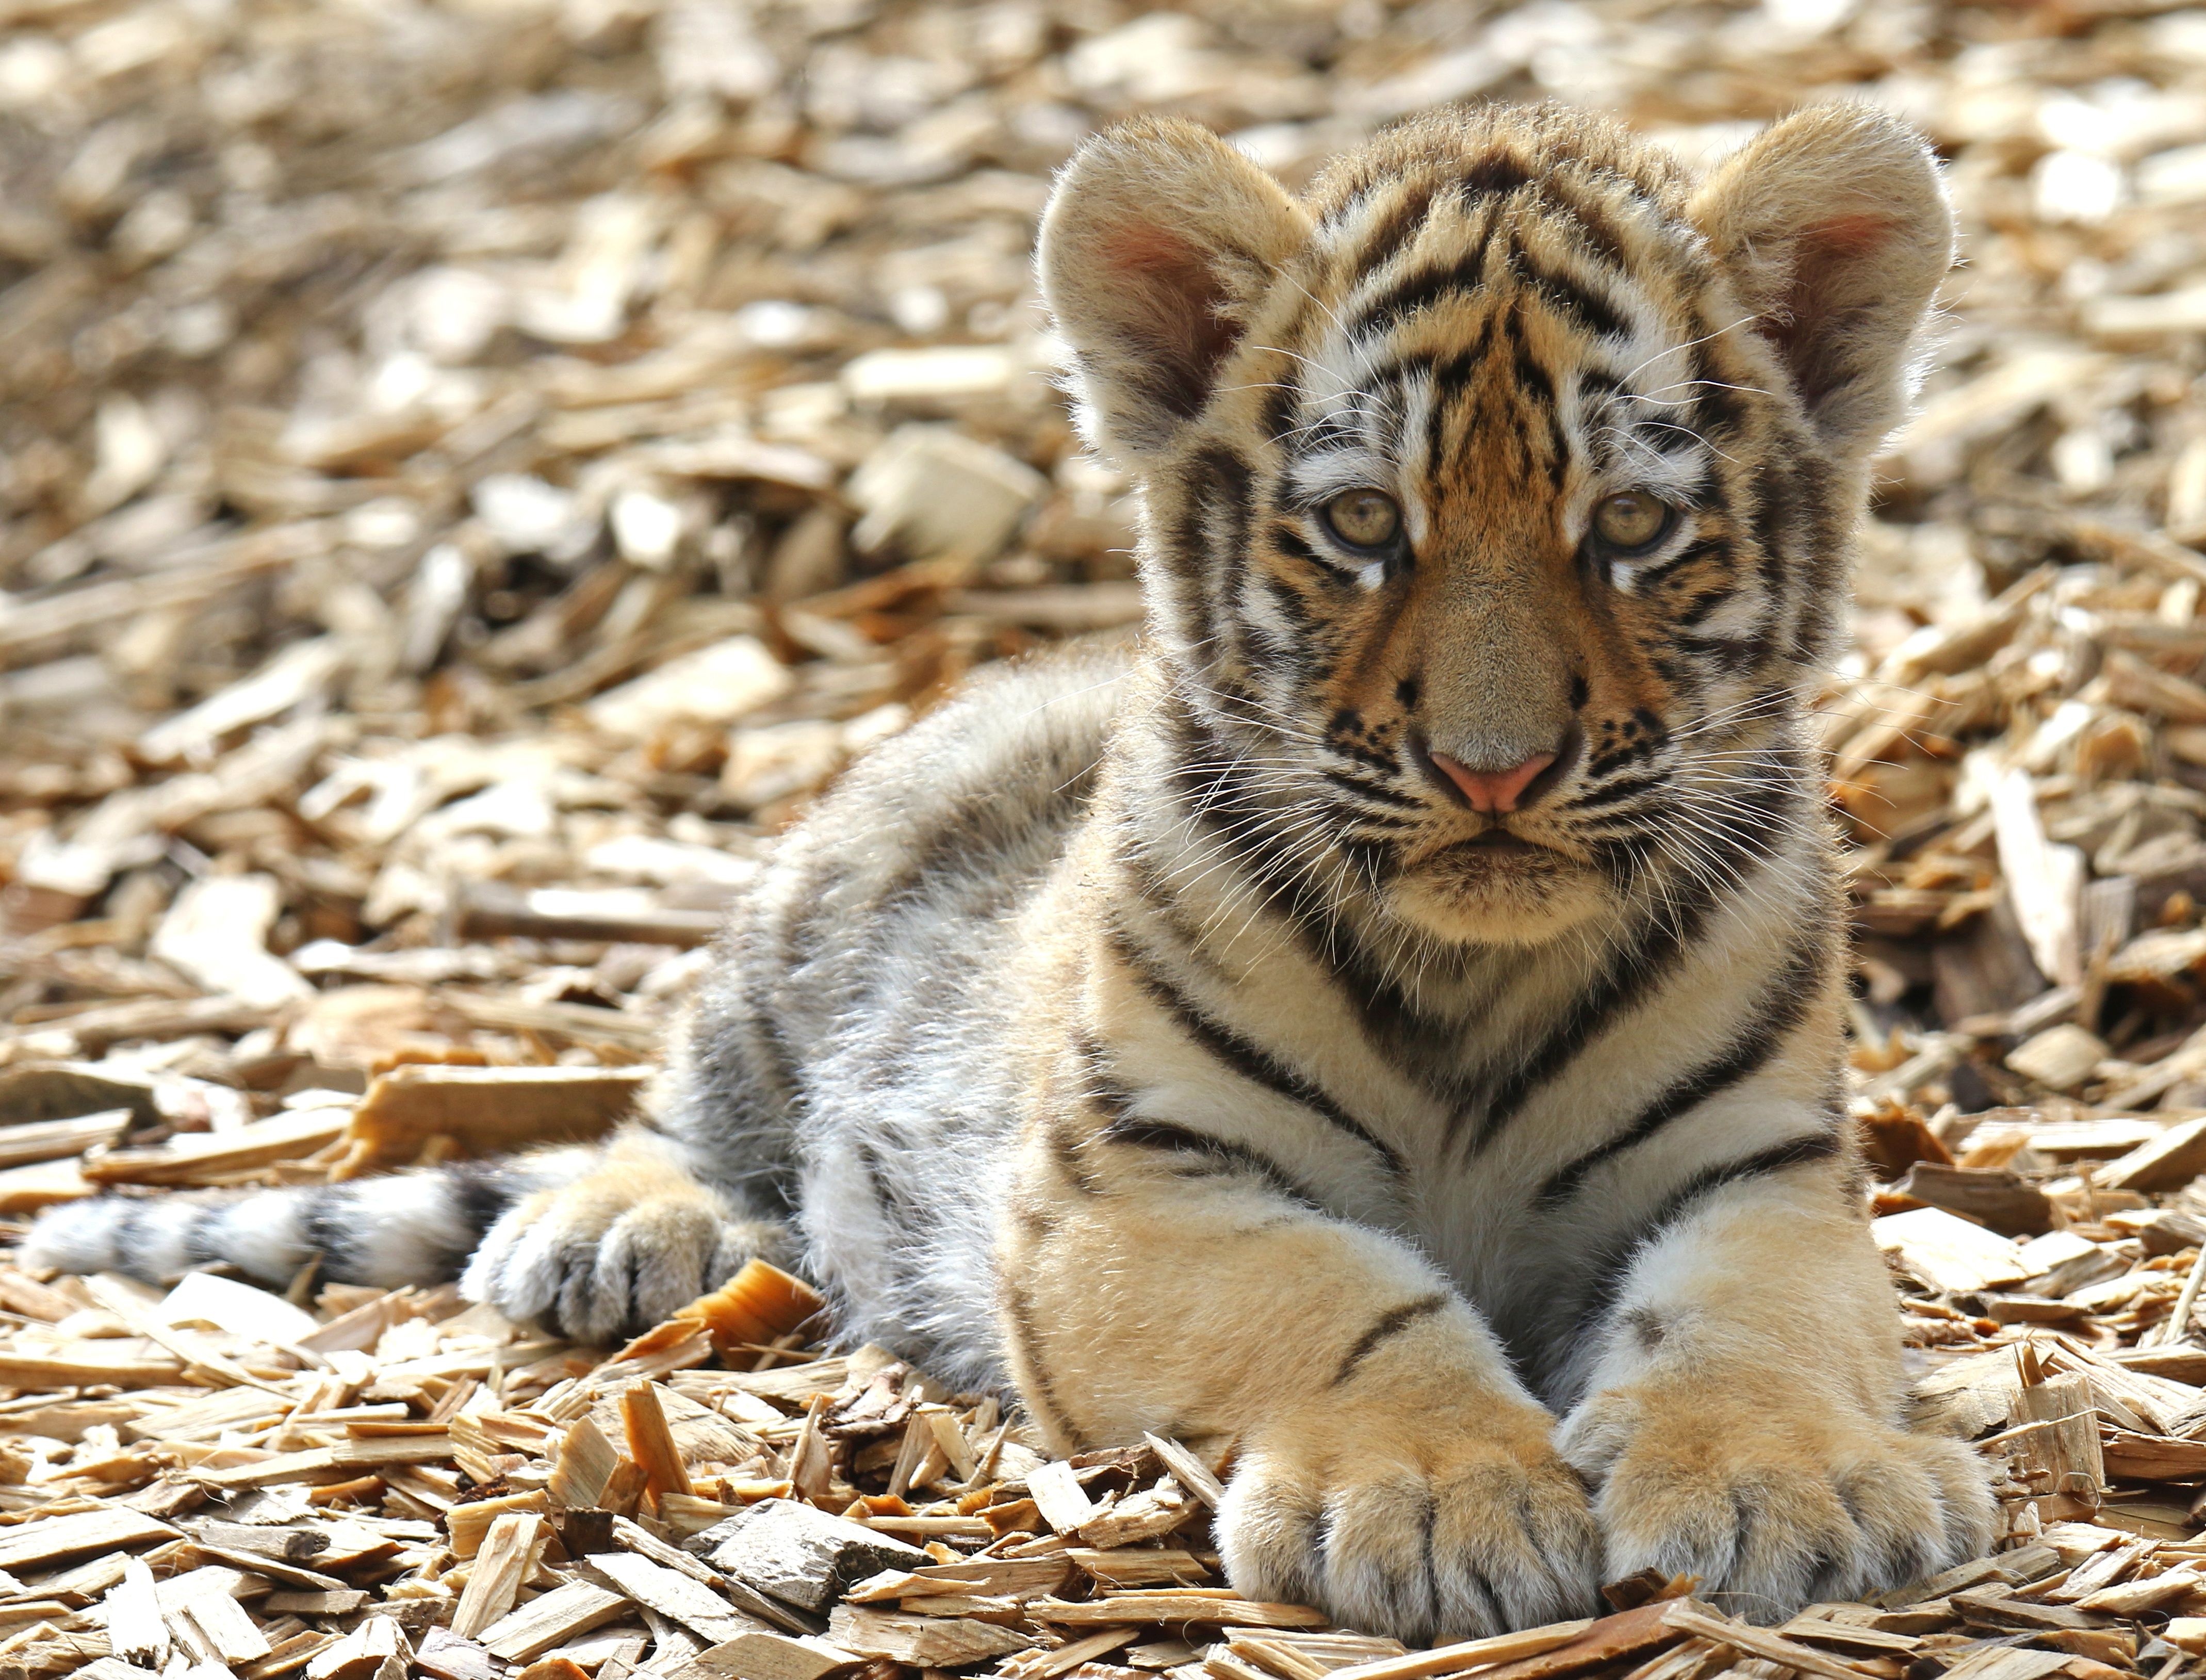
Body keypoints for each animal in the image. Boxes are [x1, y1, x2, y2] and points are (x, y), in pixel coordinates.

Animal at [28, 102, 1996, 1639]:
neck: (1473, 968)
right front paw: (1438, 1498)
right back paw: (610, 1228)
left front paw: (1783, 1488)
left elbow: (1740, 1318)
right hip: (799, 926)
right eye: (1363, 524)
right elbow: (1345, 1299)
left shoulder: (1762, 1168)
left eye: (1635, 527)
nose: (1492, 769)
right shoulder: (1134, 1186)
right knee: (684, 1114)